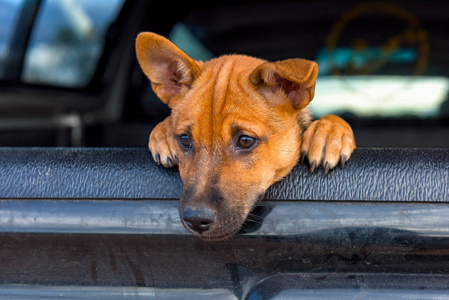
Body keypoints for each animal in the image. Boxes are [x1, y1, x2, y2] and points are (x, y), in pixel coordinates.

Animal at [135, 31, 356, 240]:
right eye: (184, 140)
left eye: (245, 141)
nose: (196, 220)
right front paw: (163, 133)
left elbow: (334, 120)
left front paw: (328, 133)